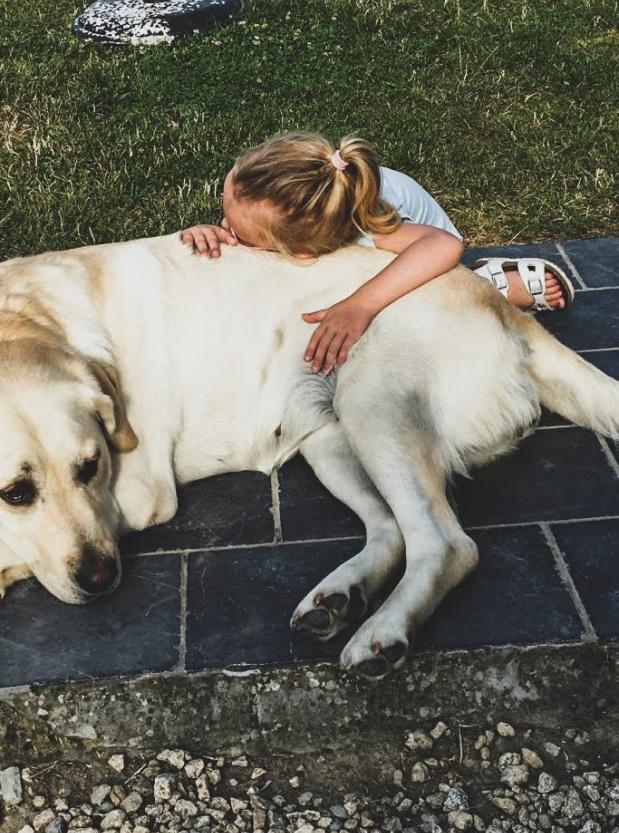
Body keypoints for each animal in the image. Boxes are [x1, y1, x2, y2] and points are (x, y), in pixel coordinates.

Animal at [1, 234, 619, 676]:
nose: (102, 577)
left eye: (91, 467)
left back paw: (382, 633)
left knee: (446, 543)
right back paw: (341, 597)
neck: (28, 317)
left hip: (374, 398)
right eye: (16, 492)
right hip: (329, 437)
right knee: (390, 530)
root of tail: (503, 307)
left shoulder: (138, 491)